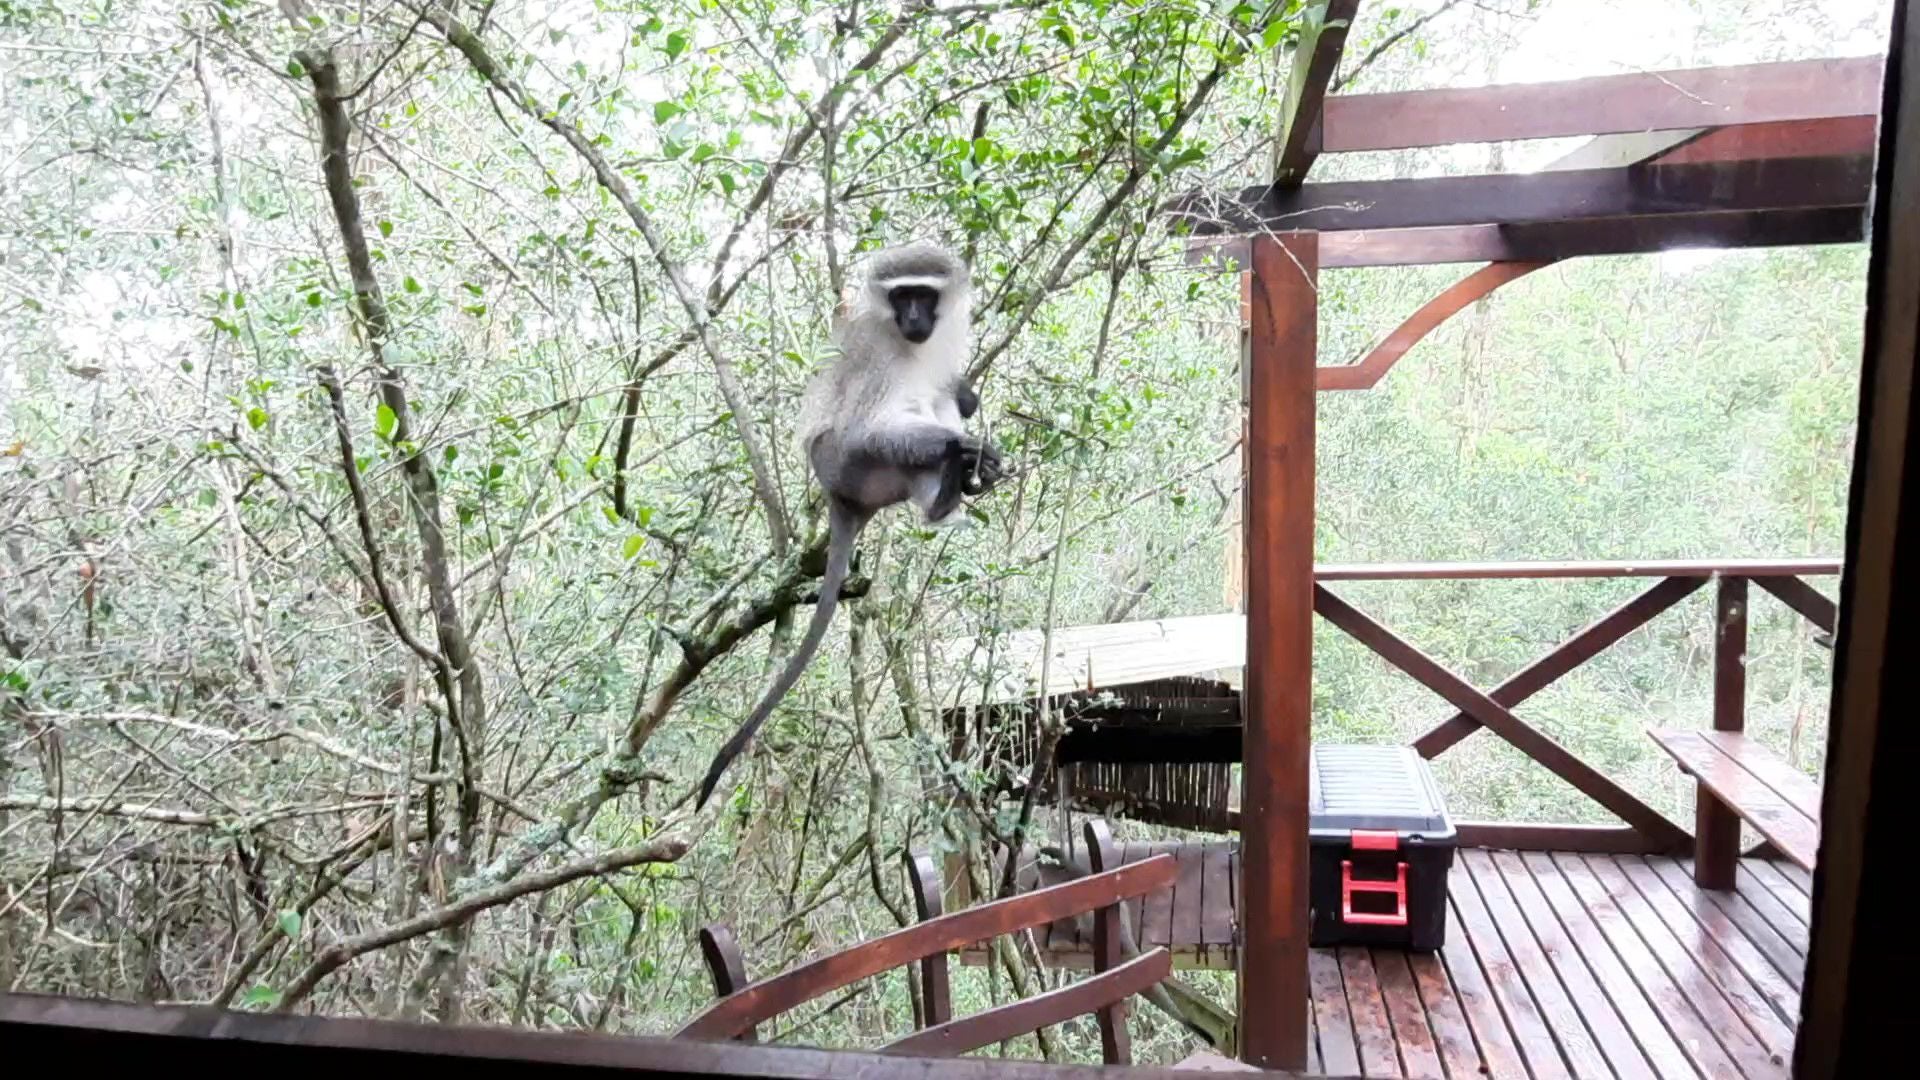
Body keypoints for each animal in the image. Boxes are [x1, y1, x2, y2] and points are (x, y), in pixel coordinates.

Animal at [702, 239, 1006, 803]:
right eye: (902, 296)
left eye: (924, 295)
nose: (913, 317)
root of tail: (840, 497)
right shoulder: (874, 358)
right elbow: (870, 428)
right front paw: (966, 444)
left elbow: (954, 392)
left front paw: (969, 404)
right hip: (846, 464)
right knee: (889, 429)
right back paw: (948, 479)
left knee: (936, 399)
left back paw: (951, 494)